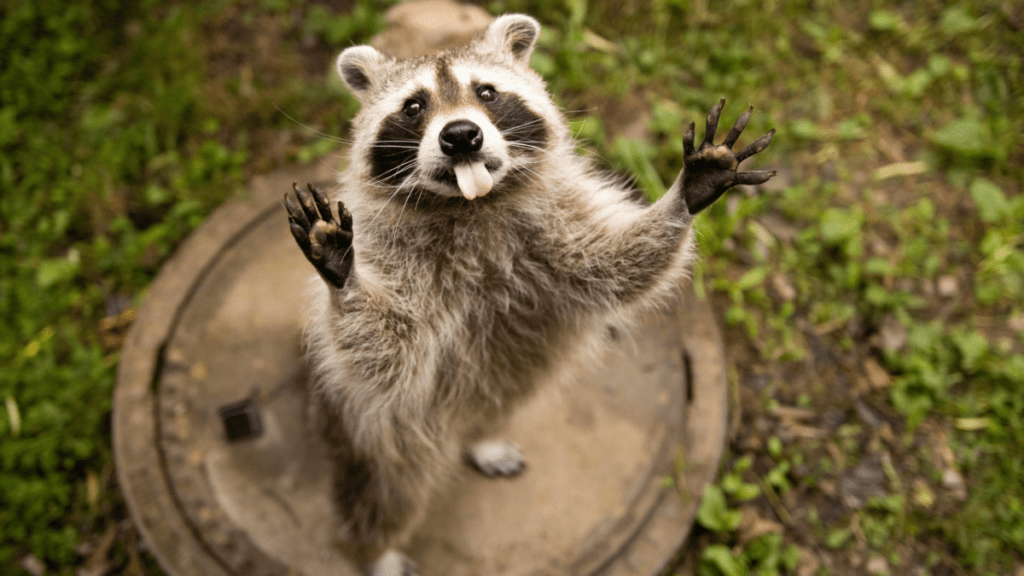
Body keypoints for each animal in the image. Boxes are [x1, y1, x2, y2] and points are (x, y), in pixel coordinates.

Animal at [284, 14, 774, 576]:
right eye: (413, 106)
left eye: (487, 92)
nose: (461, 136)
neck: (471, 204)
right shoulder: (389, 256)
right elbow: (385, 353)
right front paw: (343, 278)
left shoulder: (559, 226)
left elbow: (618, 264)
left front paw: (686, 193)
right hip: (372, 431)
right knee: (382, 492)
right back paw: (376, 550)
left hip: (511, 373)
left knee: (500, 396)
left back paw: (483, 435)